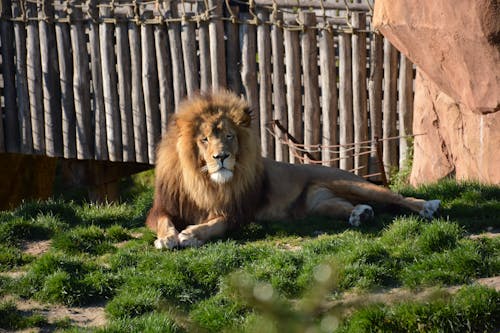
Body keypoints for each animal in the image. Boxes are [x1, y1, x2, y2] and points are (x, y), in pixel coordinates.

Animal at [146, 89, 440, 248]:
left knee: (394, 196)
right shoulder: (163, 207)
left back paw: (426, 206)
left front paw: (190, 235)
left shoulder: (237, 213)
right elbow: (162, 222)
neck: (204, 180)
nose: (222, 157)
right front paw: (167, 238)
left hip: (350, 183)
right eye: (204, 139)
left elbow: (215, 224)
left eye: (229, 136)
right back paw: (361, 214)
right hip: (320, 204)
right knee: (345, 206)